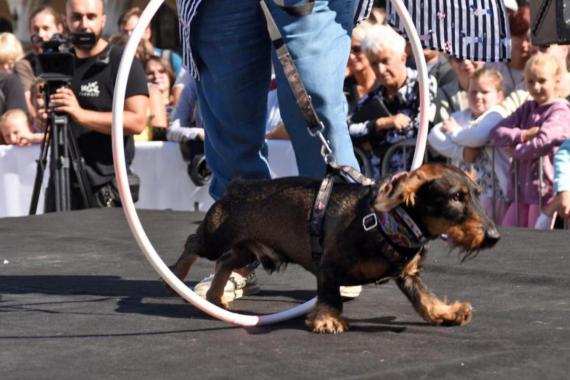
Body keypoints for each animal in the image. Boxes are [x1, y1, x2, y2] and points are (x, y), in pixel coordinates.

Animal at [169, 163, 496, 332]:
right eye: (456, 197)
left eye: (477, 195)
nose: (494, 236)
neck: (389, 221)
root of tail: (236, 186)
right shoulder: (329, 266)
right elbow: (330, 297)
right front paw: (327, 319)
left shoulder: (408, 276)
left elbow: (424, 300)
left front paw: (446, 312)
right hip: (216, 237)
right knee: (193, 244)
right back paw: (177, 273)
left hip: (245, 249)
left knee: (224, 262)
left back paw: (215, 297)